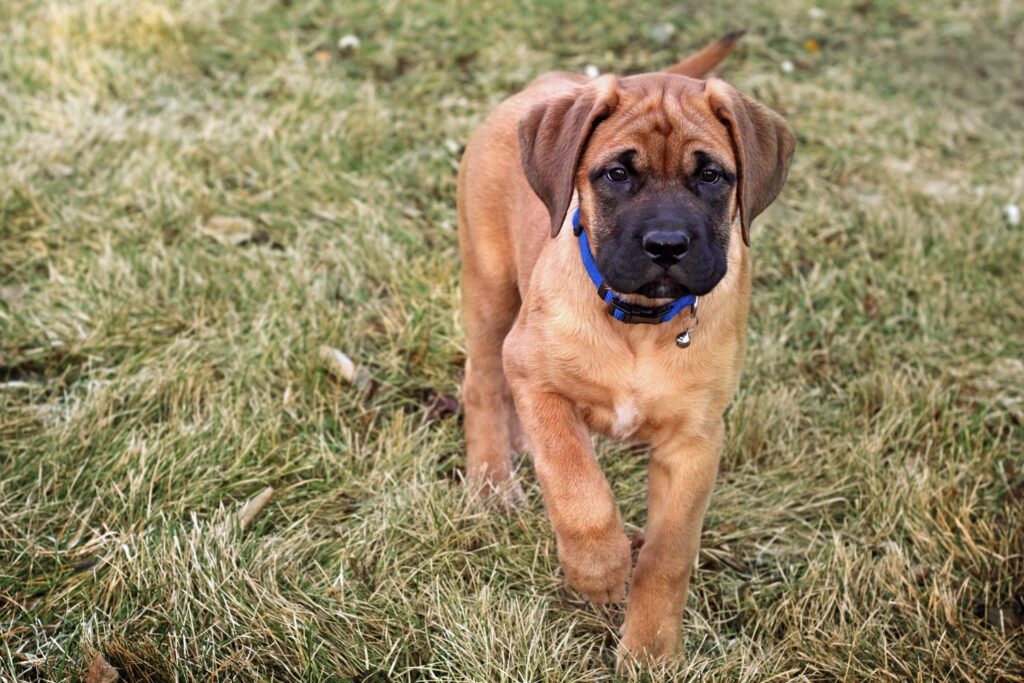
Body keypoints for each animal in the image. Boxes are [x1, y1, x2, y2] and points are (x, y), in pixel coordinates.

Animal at [458, 30, 798, 663]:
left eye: (712, 177)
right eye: (616, 174)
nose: (666, 245)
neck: (638, 323)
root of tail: (553, 81)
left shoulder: (694, 441)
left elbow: (669, 557)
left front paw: (651, 652)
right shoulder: (536, 377)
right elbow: (577, 485)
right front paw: (599, 568)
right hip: (489, 289)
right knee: (484, 383)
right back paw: (492, 480)